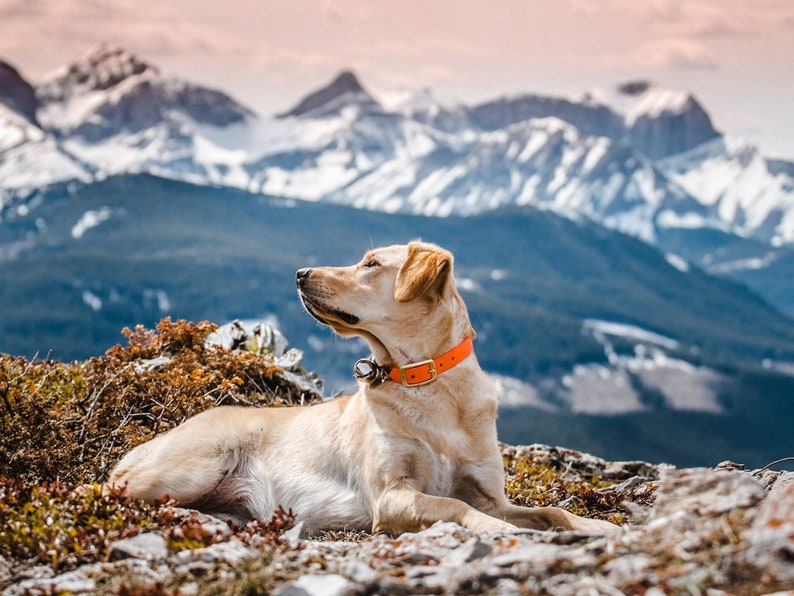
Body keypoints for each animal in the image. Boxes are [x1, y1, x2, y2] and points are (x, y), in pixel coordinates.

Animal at [106, 242, 612, 536]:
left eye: (370, 264)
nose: (300, 273)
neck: (427, 383)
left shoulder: (492, 494)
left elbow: (552, 513)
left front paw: (599, 528)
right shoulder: (391, 496)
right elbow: (454, 506)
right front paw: (497, 532)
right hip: (188, 468)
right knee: (108, 493)